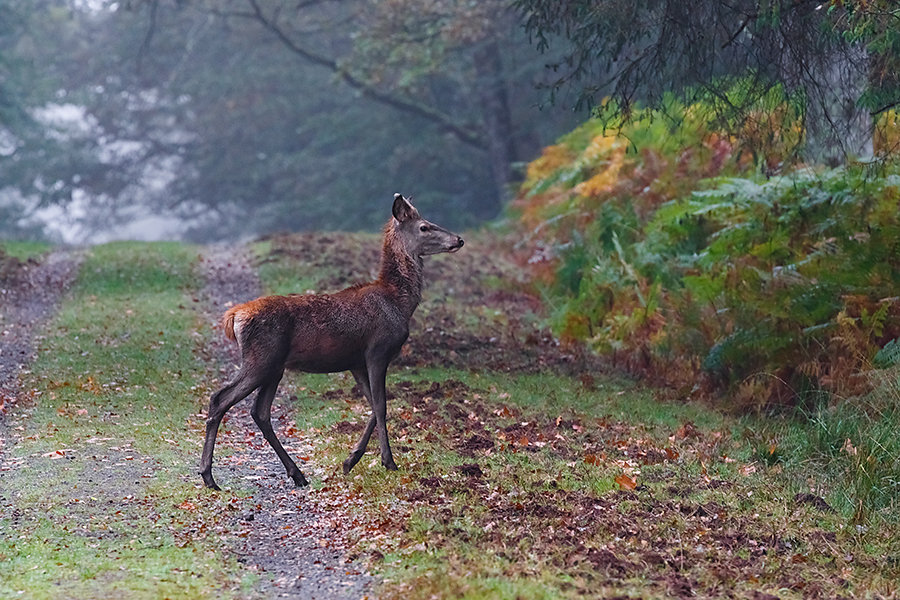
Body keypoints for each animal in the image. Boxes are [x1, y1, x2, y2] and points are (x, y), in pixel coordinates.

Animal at [198, 195, 464, 490]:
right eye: (424, 227)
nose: (459, 239)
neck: (398, 303)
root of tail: (234, 316)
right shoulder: (378, 350)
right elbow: (382, 406)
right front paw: (388, 462)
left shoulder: (356, 362)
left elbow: (373, 407)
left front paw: (350, 460)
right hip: (261, 358)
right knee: (220, 398)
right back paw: (209, 476)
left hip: (274, 367)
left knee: (260, 412)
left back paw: (297, 473)